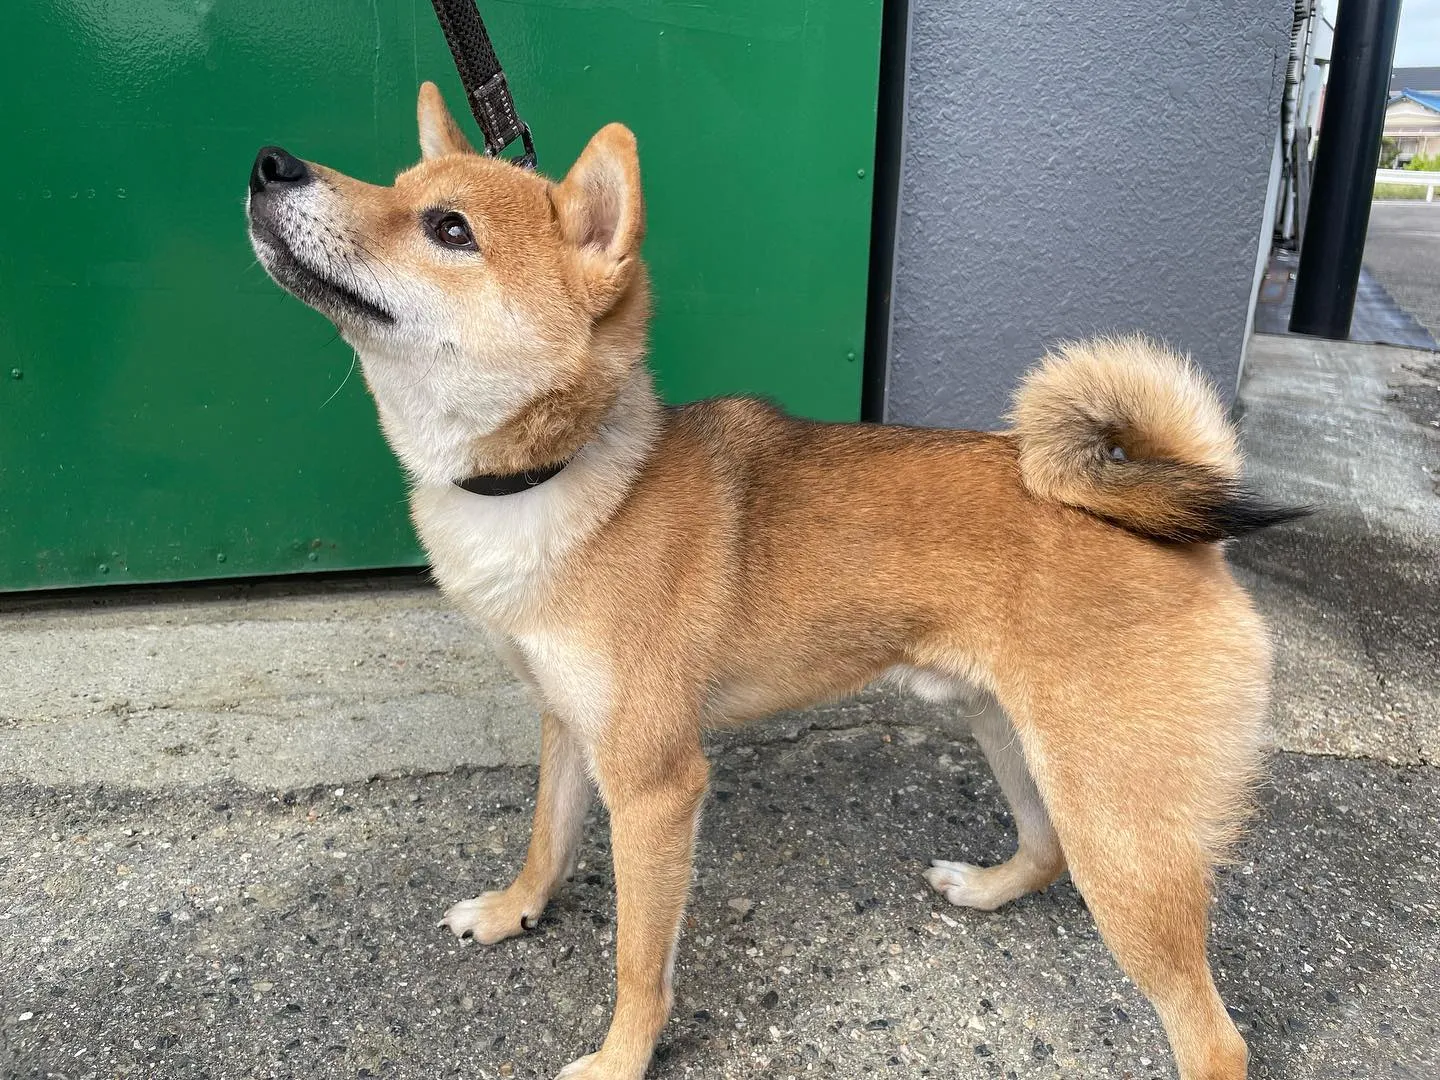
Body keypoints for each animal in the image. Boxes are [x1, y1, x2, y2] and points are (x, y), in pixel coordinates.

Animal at [244, 84, 1307, 1080]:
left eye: (450, 229)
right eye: (397, 187)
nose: (270, 163)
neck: (557, 477)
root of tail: (1183, 531)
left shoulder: (656, 784)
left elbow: (639, 960)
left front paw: (622, 1057)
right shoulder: (569, 724)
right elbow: (547, 840)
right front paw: (514, 912)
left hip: (1123, 833)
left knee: (1215, 1039)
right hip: (1017, 741)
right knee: (1046, 853)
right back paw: (984, 888)